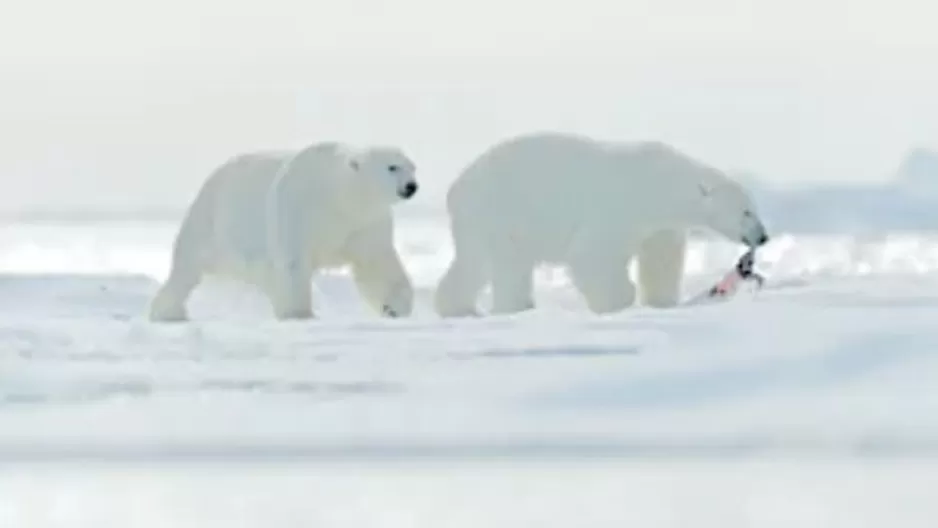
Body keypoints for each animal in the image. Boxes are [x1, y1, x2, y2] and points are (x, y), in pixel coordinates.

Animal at [148, 141, 418, 322]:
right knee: (186, 268)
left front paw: (394, 307)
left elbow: (377, 263)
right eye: (392, 167)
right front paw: (300, 314)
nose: (411, 186)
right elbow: (294, 262)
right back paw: (168, 312)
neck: (337, 195)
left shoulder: (364, 223)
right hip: (211, 219)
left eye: (412, 167)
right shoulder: (298, 208)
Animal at [432, 131, 768, 318]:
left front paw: (662, 303)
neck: (659, 184)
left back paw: (461, 309)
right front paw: (619, 301)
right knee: (501, 266)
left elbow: (660, 260)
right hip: (498, 213)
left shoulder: (660, 227)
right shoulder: (619, 210)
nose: (763, 237)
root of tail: (455, 189)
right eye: (746, 212)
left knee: (477, 264)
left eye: (754, 208)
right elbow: (592, 256)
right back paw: (511, 308)